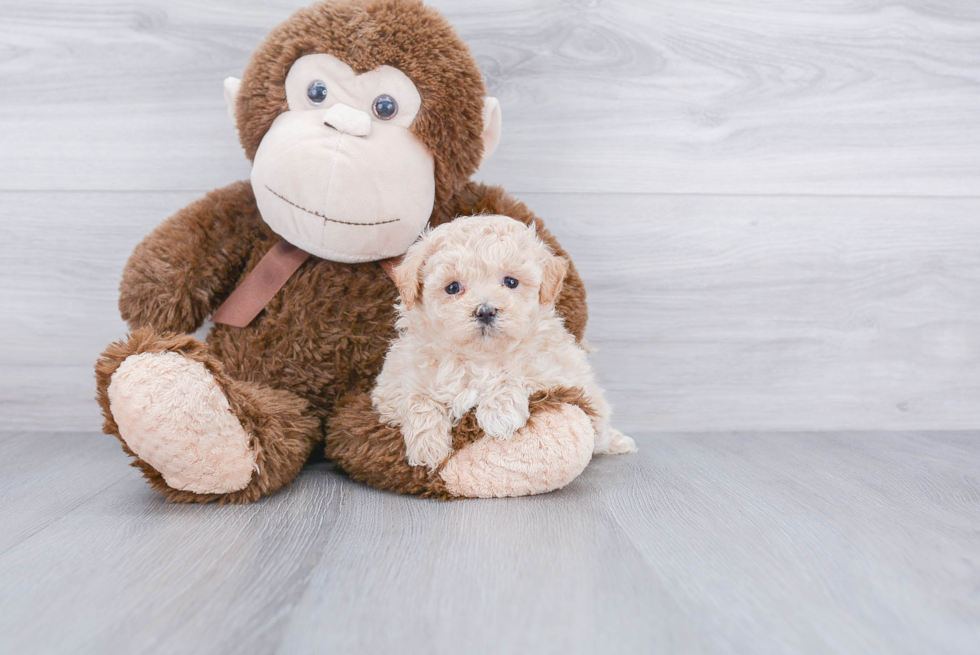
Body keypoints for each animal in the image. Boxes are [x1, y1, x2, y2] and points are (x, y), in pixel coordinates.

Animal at [372, 215, 640, 472]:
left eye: (511, 282)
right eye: (453, 287)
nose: (485, 311)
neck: (479, 359)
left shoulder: (555, 373)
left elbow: (513, 375)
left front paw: (500, 415)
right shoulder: (392, 387)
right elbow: (416, 399)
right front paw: (428, 448)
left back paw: (618, 442)